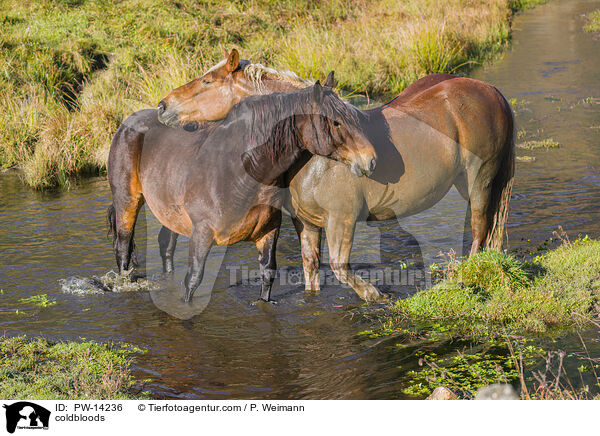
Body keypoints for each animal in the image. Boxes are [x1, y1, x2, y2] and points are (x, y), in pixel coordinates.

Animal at [103, 81, 376, 300]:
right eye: (336, 122)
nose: (371, 160)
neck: (243, 169)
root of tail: (127, 123)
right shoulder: (201, 233)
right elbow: (193, 280)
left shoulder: (268, 230)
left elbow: (267, 273)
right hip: (127, 201)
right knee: (123, 249)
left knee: (166, 246)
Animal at [155, 48, 516, 304]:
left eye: (207, 81)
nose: (162, 106)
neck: (312, 157)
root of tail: (491, 91)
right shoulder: (307, 223)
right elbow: (311, 273)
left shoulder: (341, 219)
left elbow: (341, 268)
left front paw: (374, 295)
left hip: (480, 179)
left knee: (480, 230)